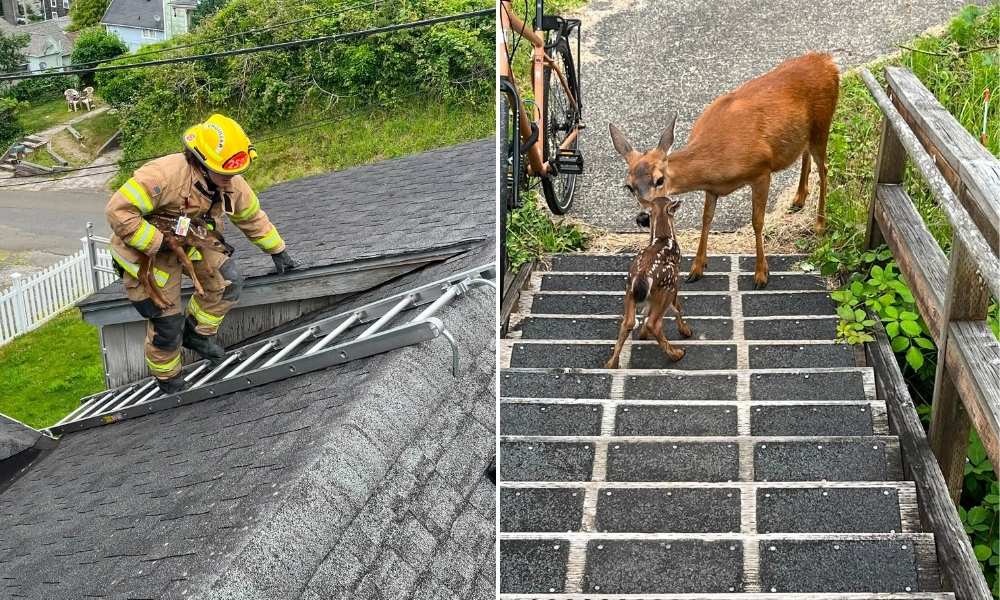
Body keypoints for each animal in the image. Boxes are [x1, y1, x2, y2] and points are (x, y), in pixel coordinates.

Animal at [605, 196, 692, 369]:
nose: (640, 220)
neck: (663, 237)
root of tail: (642, 277)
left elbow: (645, 310)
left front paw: (643, 334)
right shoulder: (676, 280)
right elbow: (678, 307)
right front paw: (685, 331)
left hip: (629, 291)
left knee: (628, 322)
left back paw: (611, 363)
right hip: (667, 286)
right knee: (654, 323)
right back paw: (677, 354)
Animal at [609, 52, 840, 288]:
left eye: (660, 179)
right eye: (629, 186)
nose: (643, 218)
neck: (717, 162)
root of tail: (827, 61)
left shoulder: (761, 172)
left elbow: (757, 221)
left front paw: (761, 273)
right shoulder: (712, 189)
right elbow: (706, 219)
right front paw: (697, 268)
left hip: (823, 123)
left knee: (825, 169)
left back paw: (820, 223)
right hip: (804, 134)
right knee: (806, 155)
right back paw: (799, 198)